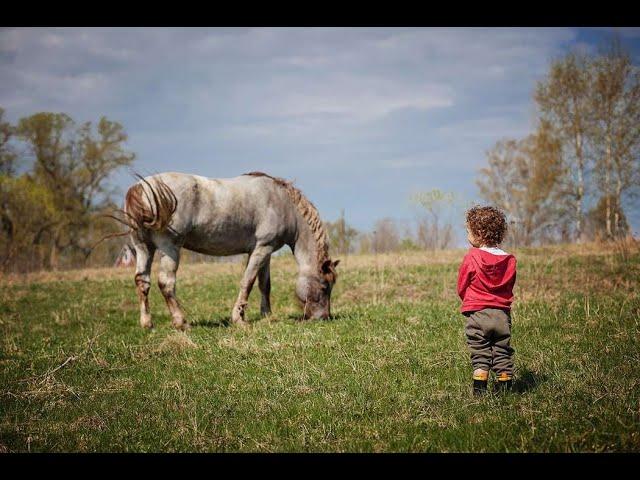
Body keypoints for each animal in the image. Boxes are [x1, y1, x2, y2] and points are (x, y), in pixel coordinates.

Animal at [118, 172, 342, 330]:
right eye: (324, 287)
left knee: (142, 282)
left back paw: (147, 323)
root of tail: (140, 188)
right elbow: (248, 282)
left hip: (143, 247)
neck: (282, 203)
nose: (323, 318)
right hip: (169, 247)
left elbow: (264, 285)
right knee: (166, 283)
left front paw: (267, 316)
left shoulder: (263, 251)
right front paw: (239, 319)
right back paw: (181, 322)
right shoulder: (262, 249)